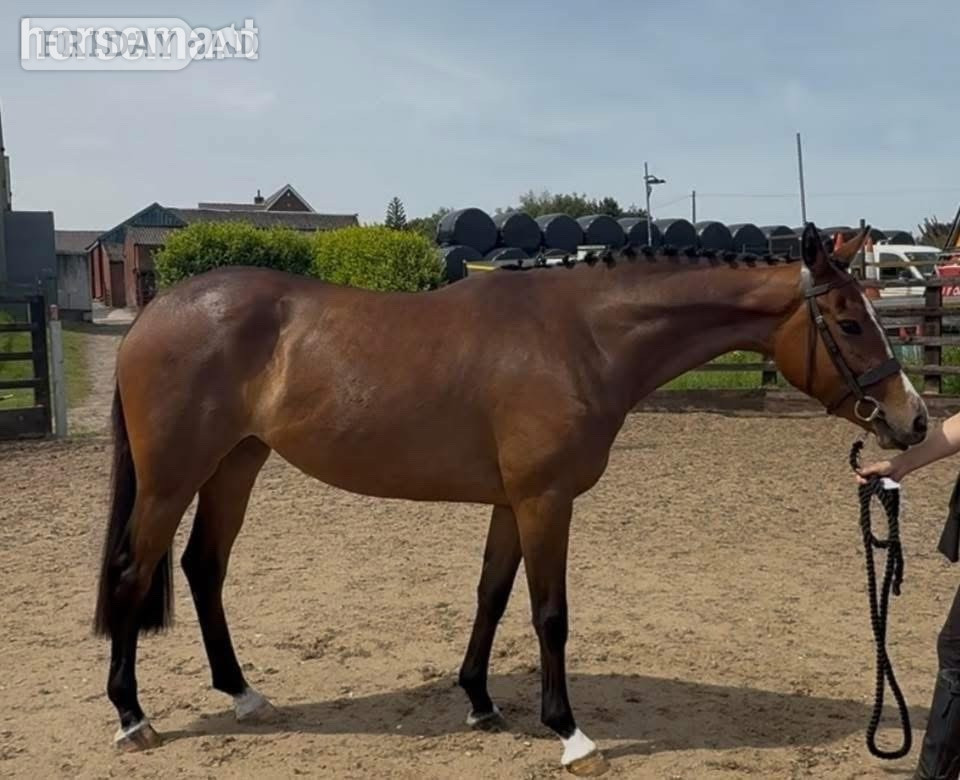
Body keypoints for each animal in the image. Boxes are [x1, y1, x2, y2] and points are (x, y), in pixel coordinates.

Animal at [93, 222, 927, 775]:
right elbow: (549, 613)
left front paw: (481, 701)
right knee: (135, 572)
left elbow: (491, 594)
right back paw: (133, 718)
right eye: (849, 321)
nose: (914, 419)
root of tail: (157, 311)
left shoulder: (509, 503)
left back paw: (242, 694)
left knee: (203, 568)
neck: (581, 335)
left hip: (237, 463)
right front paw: (570, 734)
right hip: (173, 477)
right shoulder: (545, 500)